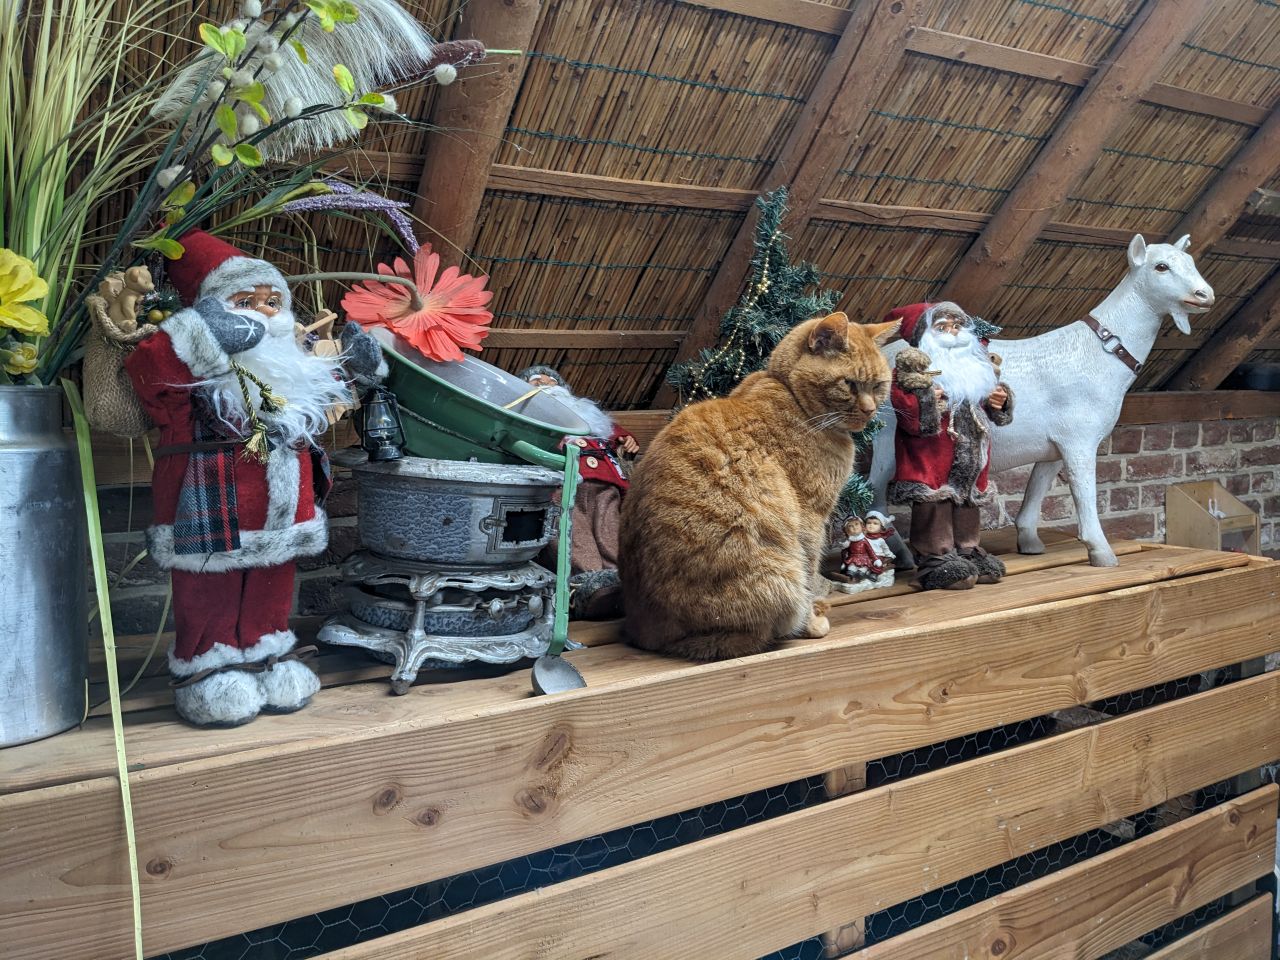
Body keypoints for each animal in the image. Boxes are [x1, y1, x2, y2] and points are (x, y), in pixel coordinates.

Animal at [614, 316, 896, 660]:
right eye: (850, 384)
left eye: (878, 385)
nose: (870, 410)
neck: (790, 395)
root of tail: (644, 633)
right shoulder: (811, 518)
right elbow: (810, 568)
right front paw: (813, 618)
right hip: (778, 573)